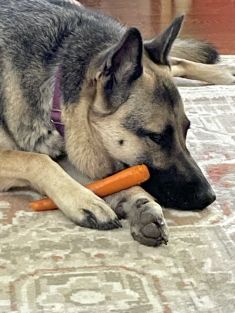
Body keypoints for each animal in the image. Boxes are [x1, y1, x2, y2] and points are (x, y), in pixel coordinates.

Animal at [0, 0, 235, 245]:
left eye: (186, 130)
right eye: (156, 137)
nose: (209, 196)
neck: (55, 89)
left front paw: (138, 202)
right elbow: (38, 160)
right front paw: (86, 200)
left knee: (175, 60)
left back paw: (225, 71)